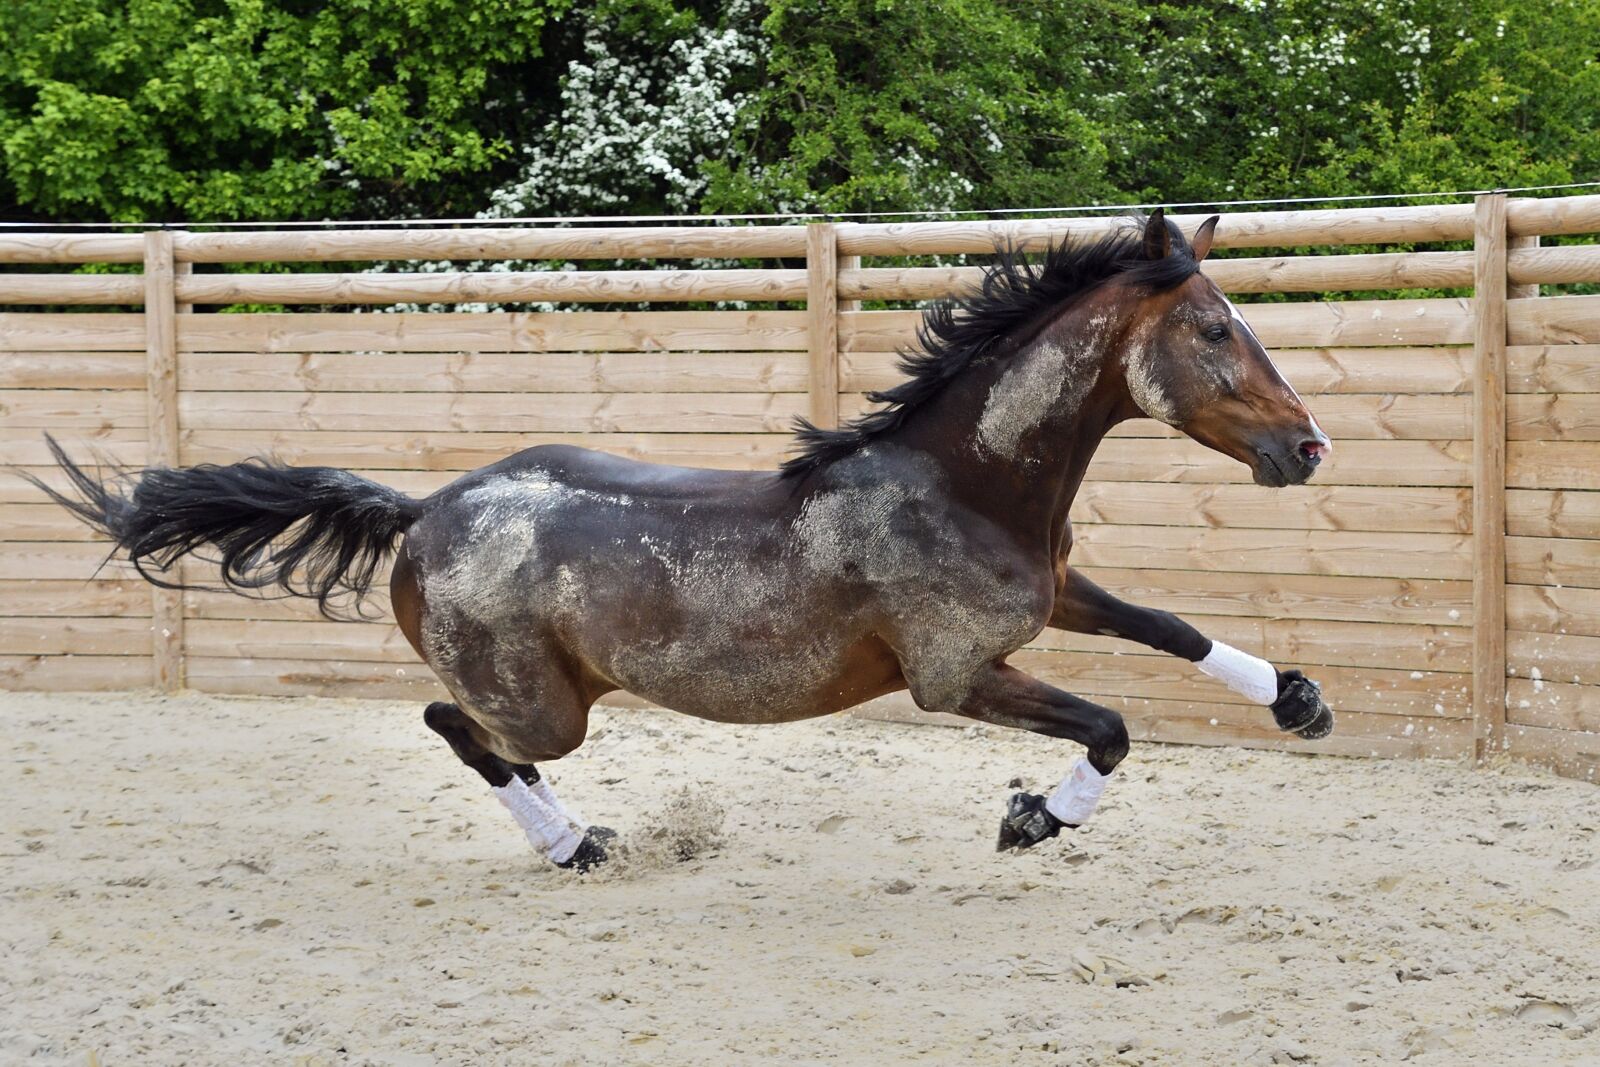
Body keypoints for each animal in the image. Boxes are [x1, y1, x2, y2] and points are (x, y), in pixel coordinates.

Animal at [32, 210, 1334, 873]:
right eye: (1215, 329)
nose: (1307, 446)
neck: (960, 483)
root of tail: (424, 509)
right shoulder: (957, 674)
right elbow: (1110, 725)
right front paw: (1032, 817)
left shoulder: (1048, 597)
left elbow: (1168, 625)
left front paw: (1299, 700)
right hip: (546, 704)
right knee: (458, 724)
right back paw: (572, 843)